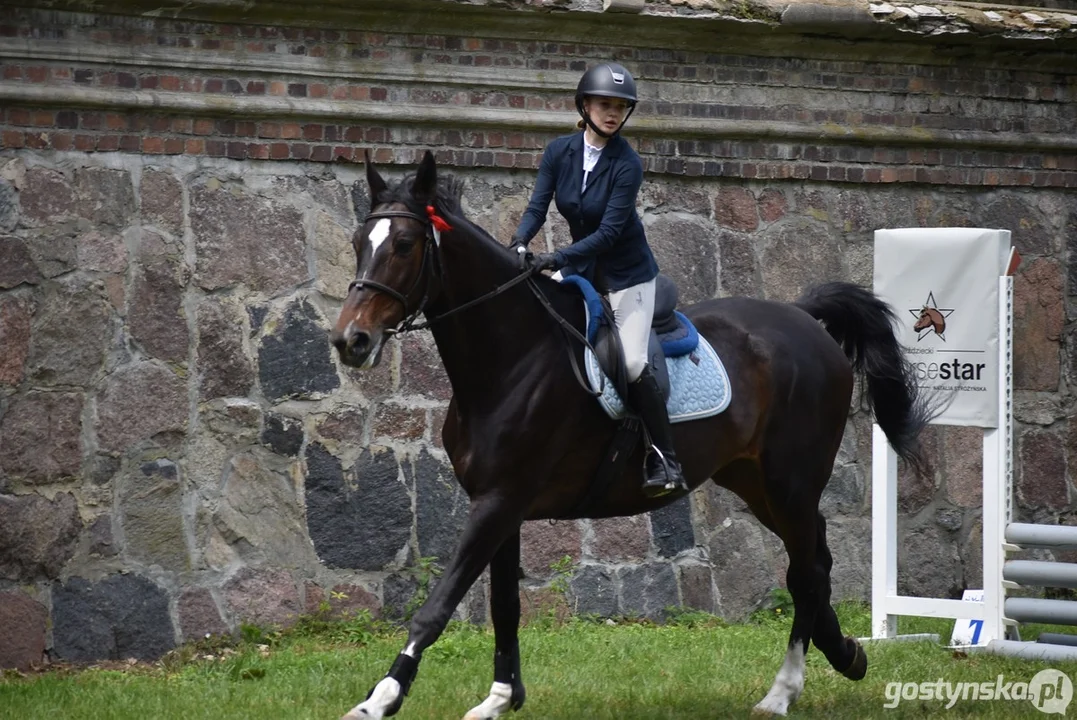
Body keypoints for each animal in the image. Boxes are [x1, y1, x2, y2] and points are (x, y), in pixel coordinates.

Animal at [327, 148, 934, 714]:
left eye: (405, 245)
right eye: (358, 240)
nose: (350, 341)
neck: (511, 357)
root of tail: (805, 318)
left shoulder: (499, 501)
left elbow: (437, 607)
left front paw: (380, 698)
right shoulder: (501, 504)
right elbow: (504, 605)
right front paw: (501, 697)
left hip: (791, 481)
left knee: (806, 570)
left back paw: (782, 692)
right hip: (755, 482)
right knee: (814, 561)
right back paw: (846, 654)